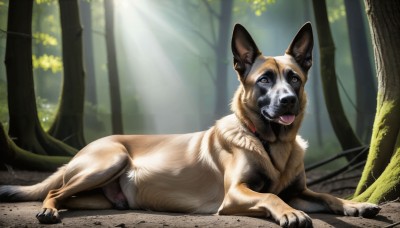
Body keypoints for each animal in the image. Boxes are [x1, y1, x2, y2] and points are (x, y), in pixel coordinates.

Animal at [0, 22, 382, 226]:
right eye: (264, 80)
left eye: (294, 78)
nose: (287, 100)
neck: (271, 143)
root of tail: (85, 149)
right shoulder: (237, 192)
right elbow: (273, 197)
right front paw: (290, 214)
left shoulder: (300, 191)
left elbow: (327, 195)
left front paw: (356, 204)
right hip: (111, 160)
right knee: (52, 191)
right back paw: (48, 211)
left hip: (99, 197)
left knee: (66, 195)